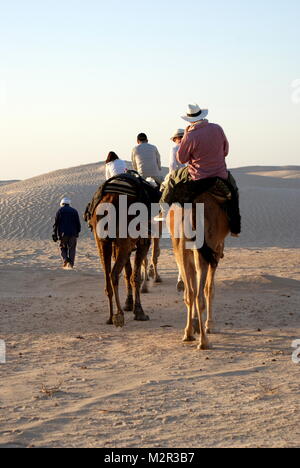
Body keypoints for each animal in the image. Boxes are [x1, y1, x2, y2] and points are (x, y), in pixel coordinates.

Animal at [90, 192, 152, 328]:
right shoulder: (143, 242)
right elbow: (135, 276)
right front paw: (139, 312)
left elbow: (128, 273)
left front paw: (129, 304)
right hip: (124, 239)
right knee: (113, 273)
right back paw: (119, 315)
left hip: (102, 241)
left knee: (108, 276)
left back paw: (110, 317)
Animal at [169, 192, 230, 350]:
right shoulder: (215, 255)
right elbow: (210, 289)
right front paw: (210, 325)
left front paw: (195, 323)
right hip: (204, 251)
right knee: (199, 295)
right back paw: (204, 341)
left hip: (180, 250)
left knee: (190, 293)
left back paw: (188, 334)